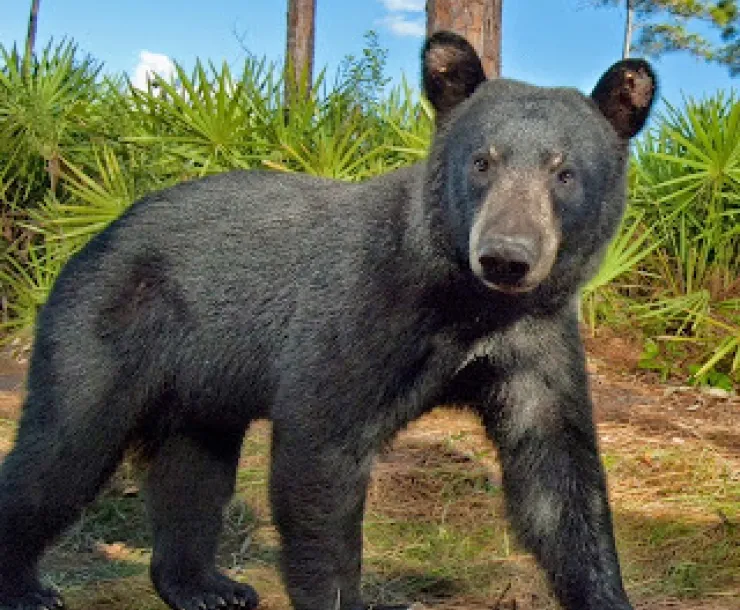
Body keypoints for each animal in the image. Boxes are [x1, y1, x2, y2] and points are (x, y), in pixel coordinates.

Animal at [0, 31, 656, 610]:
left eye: (564, 172)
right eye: (482, 162)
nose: (506, 256)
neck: (469, 304)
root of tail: (95, 237)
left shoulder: (534, 339)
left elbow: (557, 474)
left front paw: (605, 592)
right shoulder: (361, 303)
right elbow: (321, 448)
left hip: (201, 383)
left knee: (194, 471)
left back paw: (207, 586)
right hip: (105, 324)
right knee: (63, 448)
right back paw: (28, 585)